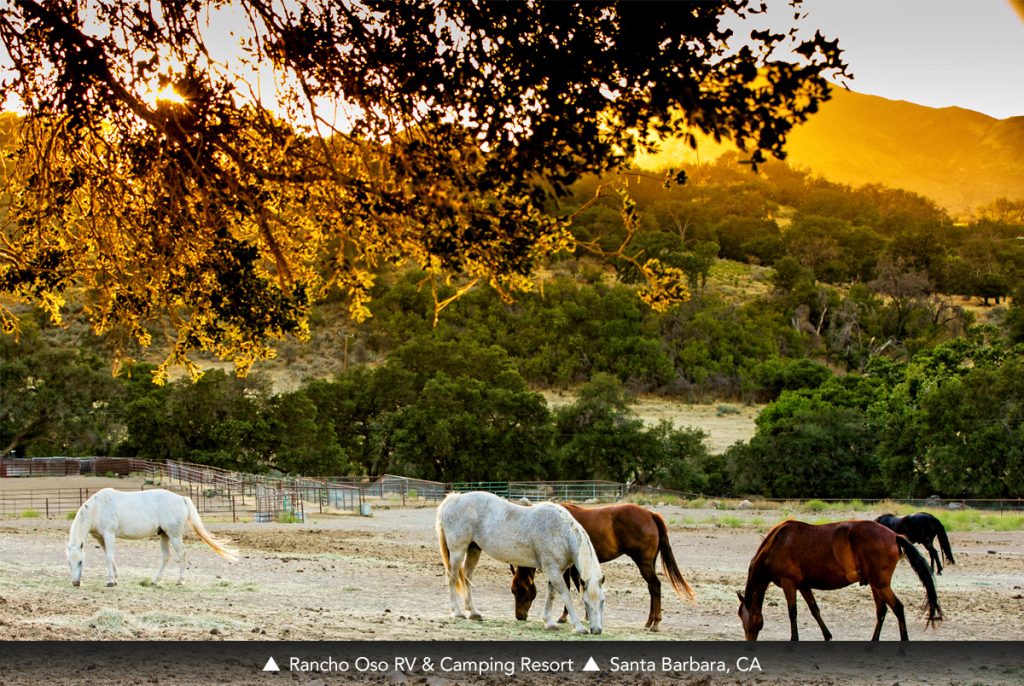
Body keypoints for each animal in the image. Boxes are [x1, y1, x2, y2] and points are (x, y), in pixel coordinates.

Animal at [66, 489, 237, 589]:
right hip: (164, 535)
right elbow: (109, 557)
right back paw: (156, 580)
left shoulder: (109, 534)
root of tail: (181, 498)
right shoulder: (100, 538)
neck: (97, 508)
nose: (75, 583)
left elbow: (109, 557)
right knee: (166, 556)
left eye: (80, 562)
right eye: (69, 563)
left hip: (174, 536)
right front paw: (115, 578)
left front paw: (110, 581)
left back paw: (180, 580)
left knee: (182, 554)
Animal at [436, 491, 602, 638]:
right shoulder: (553, 571)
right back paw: (457, 612)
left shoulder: (555, 572)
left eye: (602, 601)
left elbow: (551, 595)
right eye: (585, 602)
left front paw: (549, 623)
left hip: (473, 550)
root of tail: (454, 498)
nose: (596, 630)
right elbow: (566, 596)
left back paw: (473, 612)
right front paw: (579, 627)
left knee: (467, 577)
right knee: (452, 578)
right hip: (458, 551)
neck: (560, 532)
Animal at [512, 501, 696, 630]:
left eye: (517, 590)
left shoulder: (564, 567)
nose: (520, 616)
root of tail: (650, 514)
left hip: (643, 563)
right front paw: (587, 614)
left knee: (655, 585)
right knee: (652, 588)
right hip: (649, 563)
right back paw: (649, 621)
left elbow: (567, 587)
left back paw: (655, 623)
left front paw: (565, 617)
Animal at [737, 522, 942, 647]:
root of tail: (894, 535)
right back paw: (873, 641)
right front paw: (827, 636)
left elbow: (792, 612)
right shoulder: (803, 585)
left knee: (898, 608)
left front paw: (794, 639)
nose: (749, 642)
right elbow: (814, 610)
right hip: (876, 586)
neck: (777, 545)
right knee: (882, 611)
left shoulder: (790, 583)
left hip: (881, 585)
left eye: (741, 616)